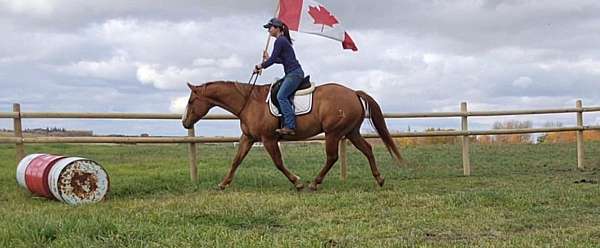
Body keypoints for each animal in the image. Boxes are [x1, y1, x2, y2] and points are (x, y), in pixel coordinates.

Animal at [183, 80, 404, 191]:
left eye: (191, 101)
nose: (184, 122)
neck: (249, 103)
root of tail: (353, 92)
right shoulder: (248, 138)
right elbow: (236, 160)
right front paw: (223, 183)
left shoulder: (268, 139)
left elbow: (278, 163)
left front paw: (297, 182)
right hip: (350, 132)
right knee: (367, 149)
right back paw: (379, 179)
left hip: (334, 133)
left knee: (332, 157)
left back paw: (314, 183)